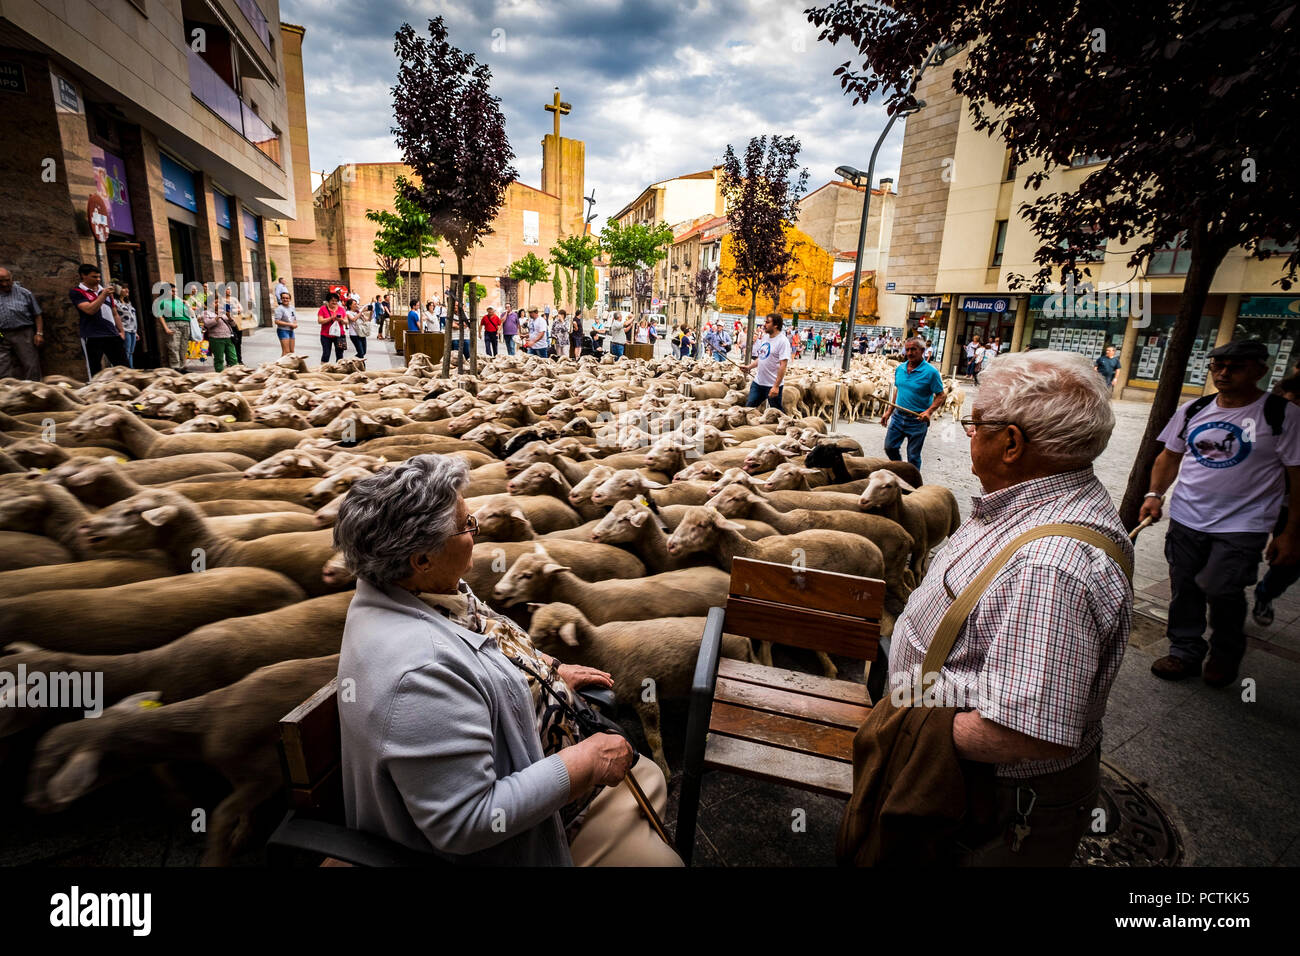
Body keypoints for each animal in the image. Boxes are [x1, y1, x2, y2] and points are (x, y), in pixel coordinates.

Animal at [26, 658, 343, 868]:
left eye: (51, 766)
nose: (32, 802)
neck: (206, 727)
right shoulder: (243, 775)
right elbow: (239, 812)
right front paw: (240, 838)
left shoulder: (268, 772)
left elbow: (221, 814)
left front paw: (214, 858)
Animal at [525, 606, 754, 780]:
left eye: (549, 632)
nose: (529, 642)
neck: (597, 648)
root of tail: (744, 639)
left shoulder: (644, 694)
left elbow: (654, 739)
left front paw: (664, 771)